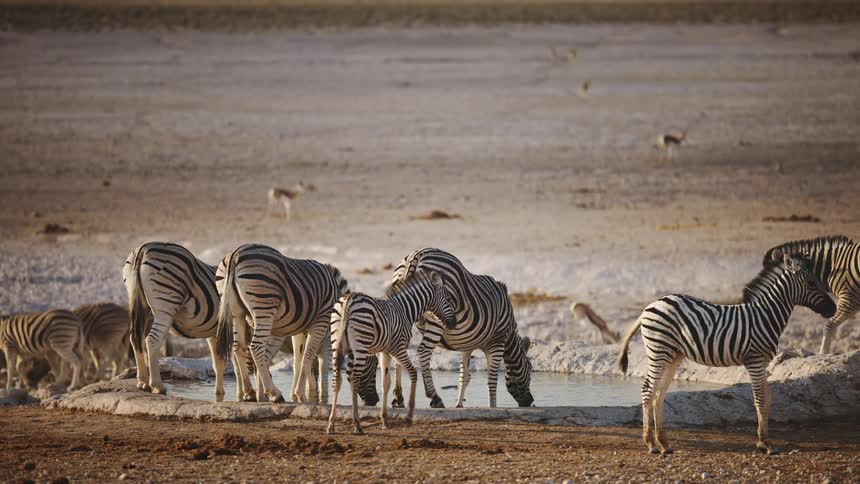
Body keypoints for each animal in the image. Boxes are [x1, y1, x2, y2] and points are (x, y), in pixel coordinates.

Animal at [215, 243, 348, 403]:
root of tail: (235, 253)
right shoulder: (321, 322)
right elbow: (310, 357)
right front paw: (308, 396)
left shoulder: (299, 329)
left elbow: (299, 359)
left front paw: (296, 395)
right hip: (264, 306)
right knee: (255, 348)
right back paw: (275, 394)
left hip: (236, 311)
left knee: (239, 347)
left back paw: (250, 393)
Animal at [326, 270, 454, 435]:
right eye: (448, 299)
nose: (453, 323)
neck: (405, 310)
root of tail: (348, 300)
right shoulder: (397, 348)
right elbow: (413, 373)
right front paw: (409, 416)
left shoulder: (384, 351)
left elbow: (385, 383)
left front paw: (384, 419)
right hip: (360, 347)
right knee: (354, 379)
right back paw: (357, 424)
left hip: (337, 343)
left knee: (337, 380)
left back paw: (331, 424)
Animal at [388, 248, 534, 408]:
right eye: (530, 369)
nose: (530, 401)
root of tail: (417, 255)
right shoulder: (497, 341)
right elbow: (492, 378)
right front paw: (493, 405)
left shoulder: (466, 345)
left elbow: (464, 376)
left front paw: (459, 404)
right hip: (437, 316)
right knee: (423, 351)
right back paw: (435, 398)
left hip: (404, 309)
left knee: (399, 352)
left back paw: (398, 398)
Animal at [617, 251, 836, 455]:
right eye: (811, 283)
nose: (833, 309)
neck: (765, 316)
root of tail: (650, 306)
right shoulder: (755, 360)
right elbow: (760, 399)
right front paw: (766, 444)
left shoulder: (763, 362)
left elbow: (768, 399)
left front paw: (763, 441)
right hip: (658, 351)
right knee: (647, 390)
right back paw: (651, 444)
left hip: (673, 355)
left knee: (658, 393)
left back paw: (664, 444)